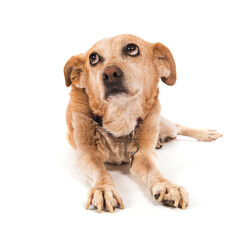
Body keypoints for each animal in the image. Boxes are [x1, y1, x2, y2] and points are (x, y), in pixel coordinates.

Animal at [63, 33, 221, 212]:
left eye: (132, 49)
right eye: (93, 58)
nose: (110, 73)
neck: (122, 117)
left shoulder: (143, 155)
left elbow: (154, 172)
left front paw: (166, 185)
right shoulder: (88, 156)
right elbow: (102, 173)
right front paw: (103, 189)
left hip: (163, 124)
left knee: (178, 128)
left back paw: (203, 134)